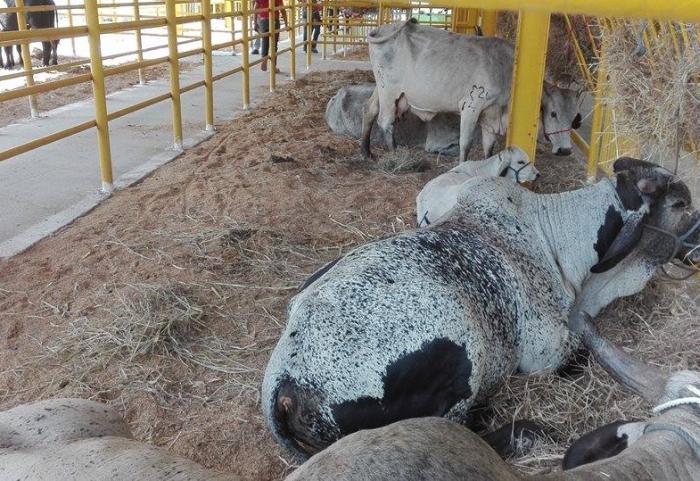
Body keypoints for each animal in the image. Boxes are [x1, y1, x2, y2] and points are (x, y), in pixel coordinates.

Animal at [262, 158, 700, 458]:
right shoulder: (546, 352)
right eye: (680, 203)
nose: (693, 246)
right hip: (460, 368)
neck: (553, 237)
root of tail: (286, 382)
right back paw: (524, 431)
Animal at [358, 18, 584, 159]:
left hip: (382, 88)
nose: (565, 150)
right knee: (385, 121)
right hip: (390, 91)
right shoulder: (471, 106)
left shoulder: (490, 116)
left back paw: (366, 152)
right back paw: (396, 155)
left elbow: (488, 148)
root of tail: (382, 29)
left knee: (369, 110)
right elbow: (465, 144)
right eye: (553, 113)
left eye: (574, 118)